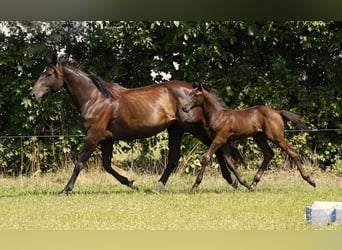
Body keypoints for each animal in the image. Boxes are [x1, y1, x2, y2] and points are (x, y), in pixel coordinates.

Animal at [30, 55, 243, 195]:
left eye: (48, 74)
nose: (32, 94)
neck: (95, 99)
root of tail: (196, 90)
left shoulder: (93, 136)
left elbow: (79, 163)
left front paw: (65, 190)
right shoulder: (107, 139)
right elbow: (107, 166)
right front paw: (132, 183)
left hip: (194, 128)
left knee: (216, 147)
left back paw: (230, 181)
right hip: (176, 129)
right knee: (175, 158)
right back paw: (157, 187)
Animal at [183, 84, 316, 191]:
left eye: (196, 95)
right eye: (189, 94)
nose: (184, 108)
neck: (218, 115)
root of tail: (277, 112)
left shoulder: (219, 139)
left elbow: (206, 157)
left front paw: (195, 186)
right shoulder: (224, 141)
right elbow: (230, 163)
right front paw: (244, 183)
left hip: (275, 137)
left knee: (292, 152)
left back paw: (311, 181)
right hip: (259, 137)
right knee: (269, 154)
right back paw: (253, 184)